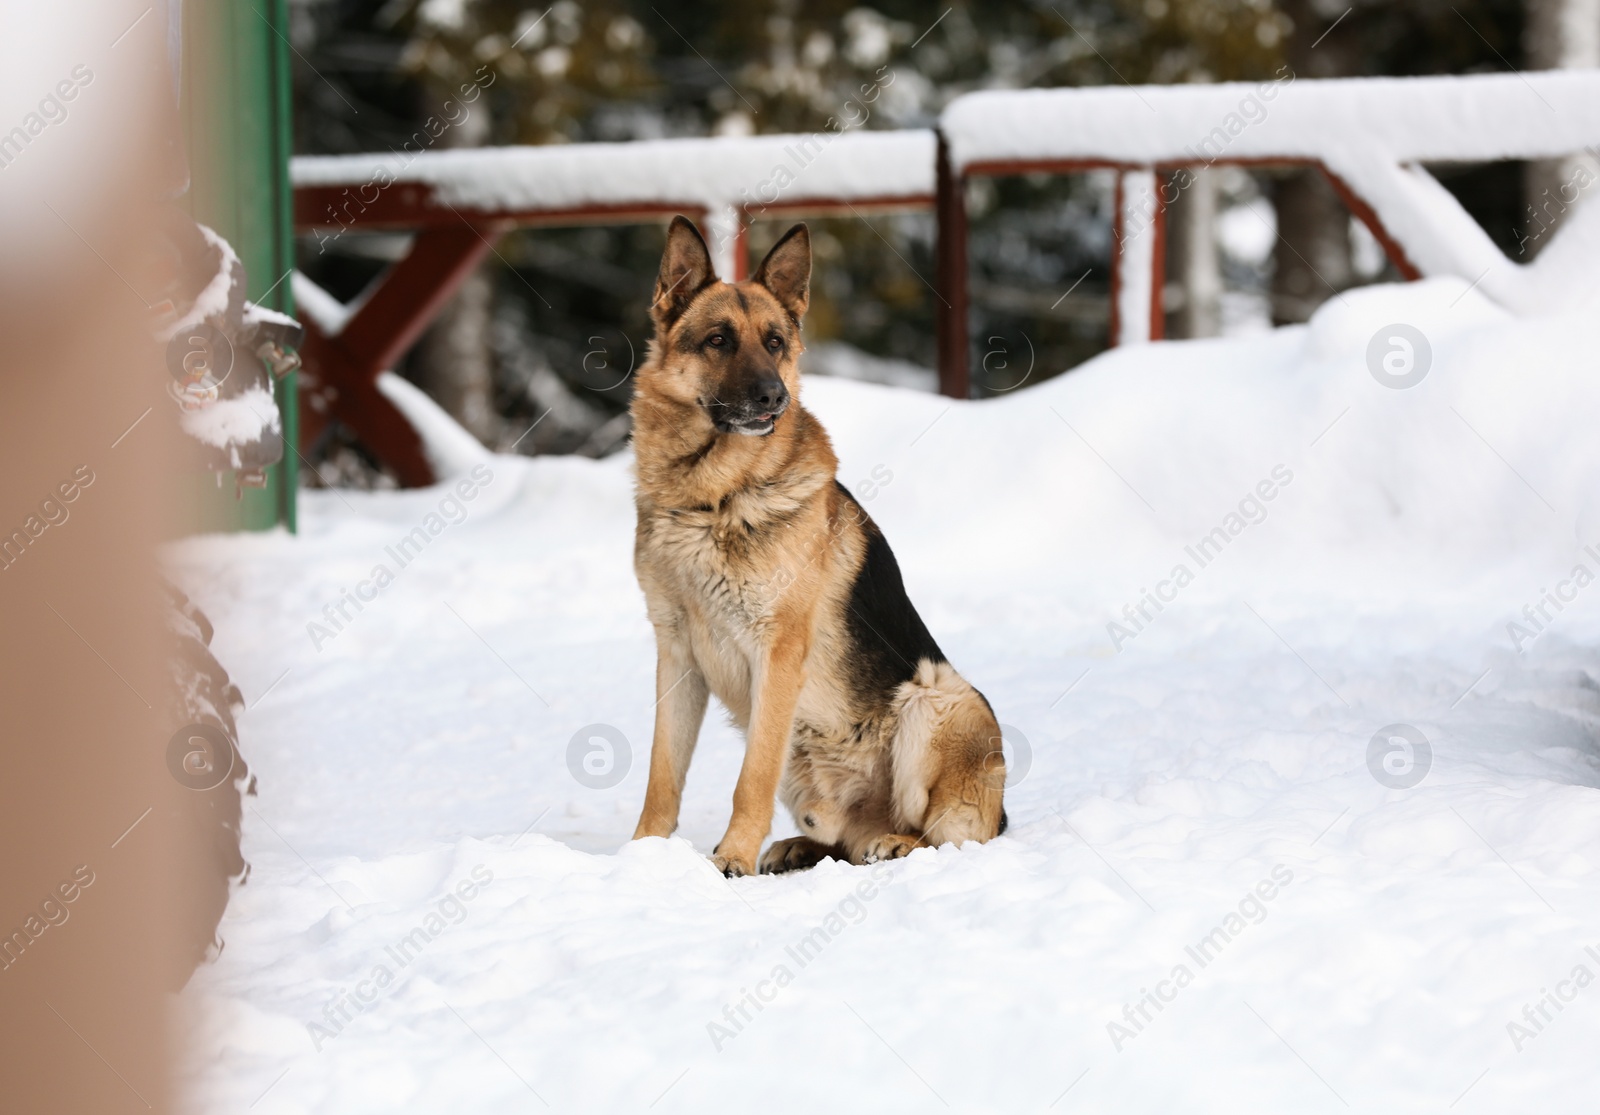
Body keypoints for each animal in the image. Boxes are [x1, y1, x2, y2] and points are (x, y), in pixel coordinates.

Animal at [624, 217, 998, 876]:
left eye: (775, 342)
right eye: (718, 340)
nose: (774, 397)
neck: (713, 498)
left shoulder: (777, 656)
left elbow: (750, 779)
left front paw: (732, 858)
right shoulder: (676, 655)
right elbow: (662, 775)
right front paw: (644, 857)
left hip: (937, 694)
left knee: (941, 833)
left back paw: (896, 843)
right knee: (841, 841)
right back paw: (805, 847)